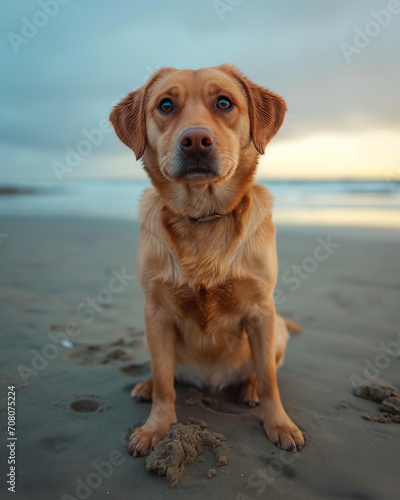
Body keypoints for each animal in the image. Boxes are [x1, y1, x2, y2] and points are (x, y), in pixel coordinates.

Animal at [109, 65, 304, 458]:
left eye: (224, 103)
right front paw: (156, 427)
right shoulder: (156, 312)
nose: (196, 139)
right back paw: (146, 385)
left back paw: (247, 389)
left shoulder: (262, 310)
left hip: (276, 331)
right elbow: (166, 381)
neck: (202, 215)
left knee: (260, 371)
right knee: (165, 372)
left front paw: (279, 424)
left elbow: (270, 381)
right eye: (165, 105)